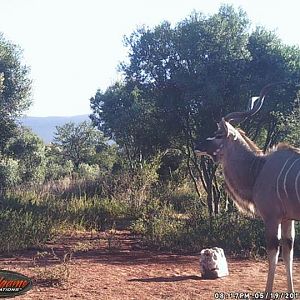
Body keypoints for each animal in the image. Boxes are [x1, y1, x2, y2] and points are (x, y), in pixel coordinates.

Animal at [196, 84, 298, 292]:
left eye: (219, 135)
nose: (197, 145)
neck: (258, 169)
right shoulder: (288, 219)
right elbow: (288, 254)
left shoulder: (272, 218)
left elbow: (273, 255)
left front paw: (267, 293)